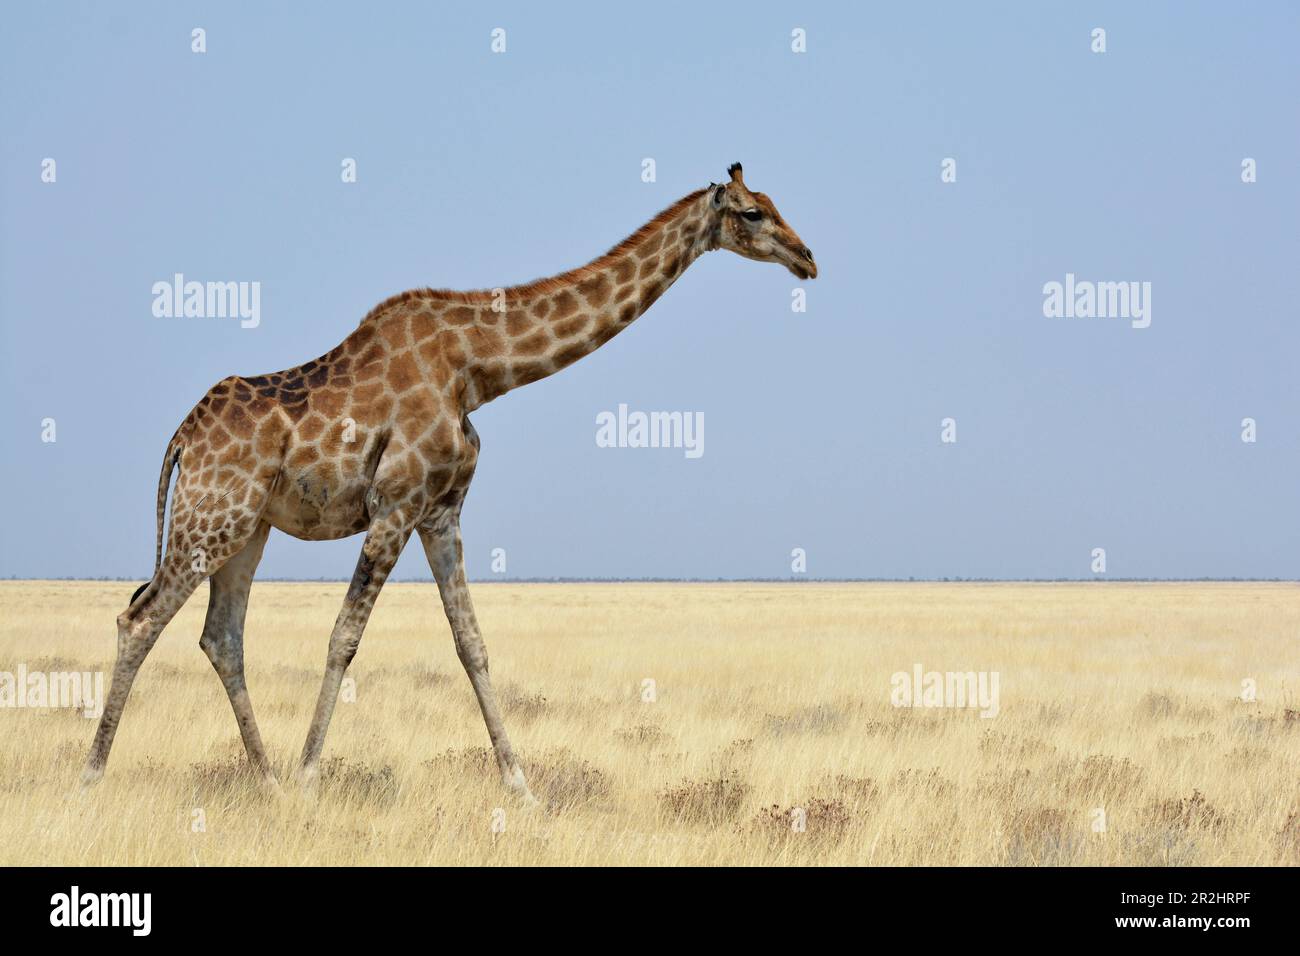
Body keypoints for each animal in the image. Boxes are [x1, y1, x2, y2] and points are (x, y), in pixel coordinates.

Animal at [81, 163, 816, 801]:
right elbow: (344, 637)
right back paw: (95, 777)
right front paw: (311, 779)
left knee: (221, 636)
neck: (477, 368)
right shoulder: (396, 501)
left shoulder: (443, 509)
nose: (808, 257)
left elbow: (472, 644)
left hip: (249, 528)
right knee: (139, 617)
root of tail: (182, 437)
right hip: (212, 516)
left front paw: (522, 789)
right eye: (753, 212)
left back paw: (265, 781)